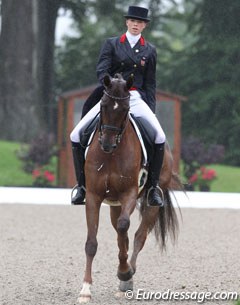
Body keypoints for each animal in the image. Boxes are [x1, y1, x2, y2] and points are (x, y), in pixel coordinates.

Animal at [78, 73, 181, 302]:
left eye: (125, 109)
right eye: (103, 105)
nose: (107, 144)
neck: (112, 155)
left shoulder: (129, 194)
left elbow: (126, 228)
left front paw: (124, 272)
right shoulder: (93, 196)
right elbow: (92, 242)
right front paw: (86, 289)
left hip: (151, 202)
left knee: (137, 236)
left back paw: (127, 276)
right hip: (114, 204)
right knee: (121, 234)